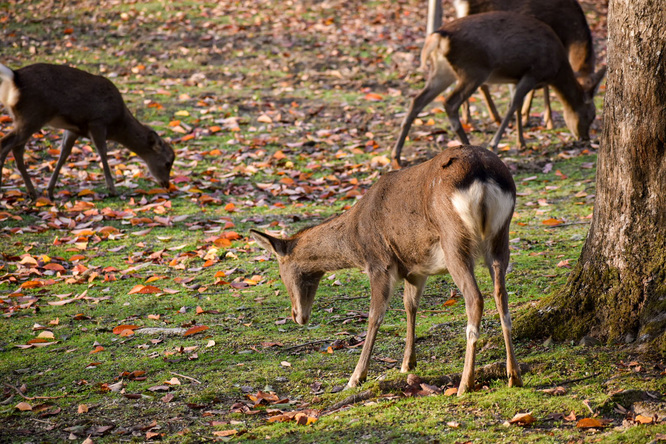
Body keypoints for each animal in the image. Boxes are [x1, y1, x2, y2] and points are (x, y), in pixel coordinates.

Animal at [0, 62, 174, 199]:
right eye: (167, 163)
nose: (166, 184)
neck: (117, 122)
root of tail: (15, 77)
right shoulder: (97, 121)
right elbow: (102, 152)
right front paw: (112, 190)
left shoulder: (73, 129)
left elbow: (64, 155)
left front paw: (50, 190)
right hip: (32, 116)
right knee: (6, 143)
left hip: (24, 119)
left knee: (17, 149)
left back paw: (33, 193)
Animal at [252, 145, 520, 396]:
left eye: (281, 273)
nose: (298, 316)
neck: (356, 239)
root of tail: (482, 174)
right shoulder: (416, 268)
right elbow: (410, 306)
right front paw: (407, 363)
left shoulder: (379, 263)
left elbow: (375, 315)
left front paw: (356, 377)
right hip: (501, 237)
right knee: (501, 295)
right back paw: (513, 375)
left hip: (454, 240)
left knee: (475, 298)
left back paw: (465, 384)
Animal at [390, 13, 608, 168]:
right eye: (592, 114)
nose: (585, 138)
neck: (556, 69)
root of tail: (438, 37)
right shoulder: (533, 72)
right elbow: (514, 104)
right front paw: (495, 143)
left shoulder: (518, 77)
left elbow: (518, 106)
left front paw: (521, 143)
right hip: (473, 69)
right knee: (450, 103)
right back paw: (468, 146)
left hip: (443, 71)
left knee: (417, 101)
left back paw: (396, 156)